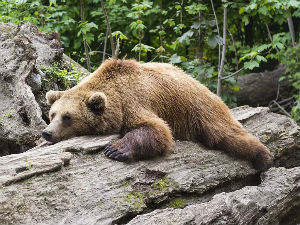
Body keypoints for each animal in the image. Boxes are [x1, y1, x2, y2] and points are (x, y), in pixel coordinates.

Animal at [44, 58, 272, 171]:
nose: (47, 133)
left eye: (67, 117)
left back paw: (263, 157)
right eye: (52, 114)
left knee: (225, 133)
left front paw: (115, 149)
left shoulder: (134, 102)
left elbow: (157, 129)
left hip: (199, 109)